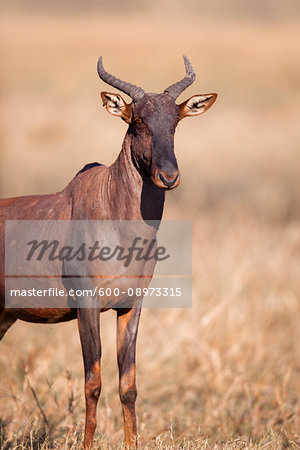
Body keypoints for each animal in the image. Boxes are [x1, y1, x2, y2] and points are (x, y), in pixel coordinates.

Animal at [0, 55, 216, 446]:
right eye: (137, 120)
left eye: (176, 121)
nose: (169, 176)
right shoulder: (87, 305)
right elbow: (93, 382)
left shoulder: (131, 306)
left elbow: (128, 385)